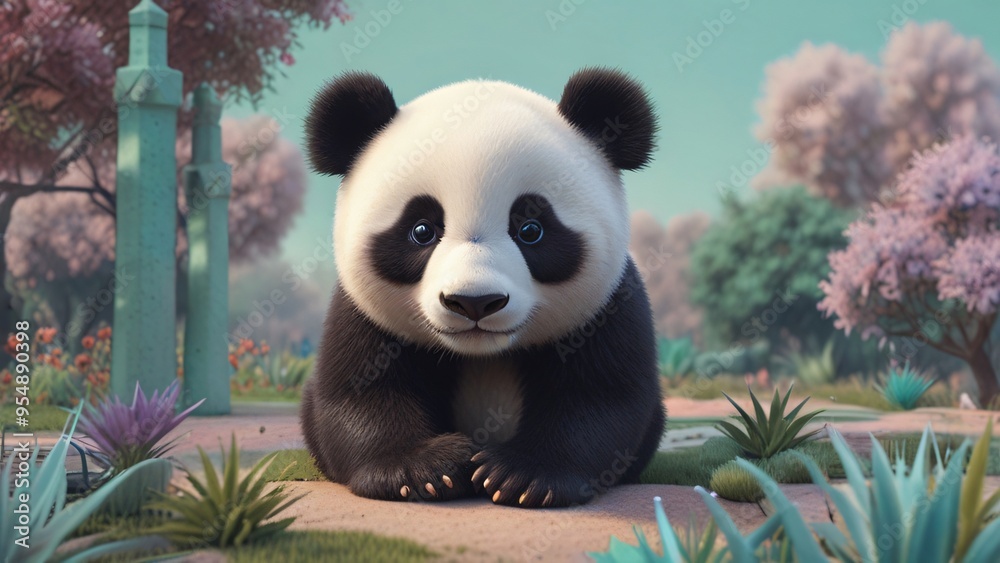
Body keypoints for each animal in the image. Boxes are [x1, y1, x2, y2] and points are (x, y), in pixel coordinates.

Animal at [300, 68, 665, 508]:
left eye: (531, 229)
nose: (474, 302)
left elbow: (599, 396)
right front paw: (422, 469)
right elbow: (361, 391)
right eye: (421, 230)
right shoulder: (361, 312)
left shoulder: (607, 305)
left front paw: (524, 475)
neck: (483, 353)